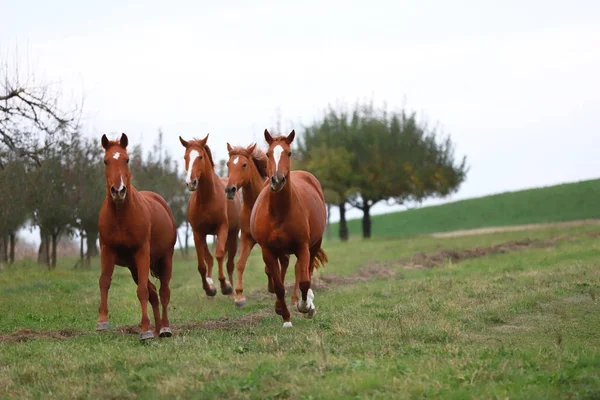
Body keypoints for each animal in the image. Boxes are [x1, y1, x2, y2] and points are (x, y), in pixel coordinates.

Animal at [96, 134, 178, 340]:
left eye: (127, 159)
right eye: (106, 161)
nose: (118, 191)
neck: (121, 215)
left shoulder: (142, 253)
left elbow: (141, 291)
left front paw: (145, 330)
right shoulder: (107, 251)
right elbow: (104, 281)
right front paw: (102, 321)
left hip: (165, 259)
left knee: (163, 292)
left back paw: (165, 328)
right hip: (133, 267)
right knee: (153, 292)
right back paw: (157, 329)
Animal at [178, 134, 241, 296]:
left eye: (200, 156)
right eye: (185, 157)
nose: (191, 182)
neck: (207, 199)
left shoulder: (222, 228)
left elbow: (219, 255)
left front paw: (225, 286)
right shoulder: (197, 232)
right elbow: (202, 264)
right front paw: (209, 289)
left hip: (233, 234)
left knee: (229, 263)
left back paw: (231, 290)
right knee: (209, 259)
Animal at [225, 142, 290, 308]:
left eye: (244, 164)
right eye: (228, 164)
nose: (230, 189)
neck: (253, 205)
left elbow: (269, 267)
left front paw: (273, 287)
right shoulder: (247, 238)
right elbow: (240, 264)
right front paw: (239, 297)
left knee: (284, 261)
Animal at [250, 130, 328, 326]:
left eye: (289, 153)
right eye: (268, 153)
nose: (277, 180)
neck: (279, 212)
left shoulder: (302, 246)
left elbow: (305, 281)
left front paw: (305, 306)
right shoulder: (268, 251)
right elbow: (278, 286)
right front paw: (286, 319)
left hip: (314, 244)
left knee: (307, 270)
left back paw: (308, 304)